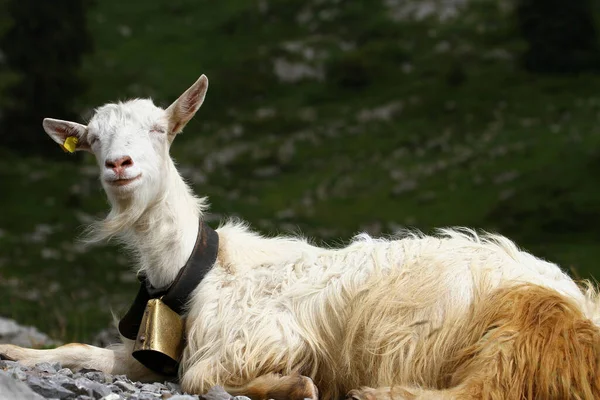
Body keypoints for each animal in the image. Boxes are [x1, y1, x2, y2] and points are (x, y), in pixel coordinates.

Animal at [3, 73, 600, 398]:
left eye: (160, 129)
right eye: (92, 140)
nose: (119, 165)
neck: (196, 271)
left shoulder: (265, 335)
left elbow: (198, 376)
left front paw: (295, 385)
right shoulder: (152, 355)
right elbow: (83, 350)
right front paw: (14, 351)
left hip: (519, 327)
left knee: (490, 389)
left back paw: (376, 393)